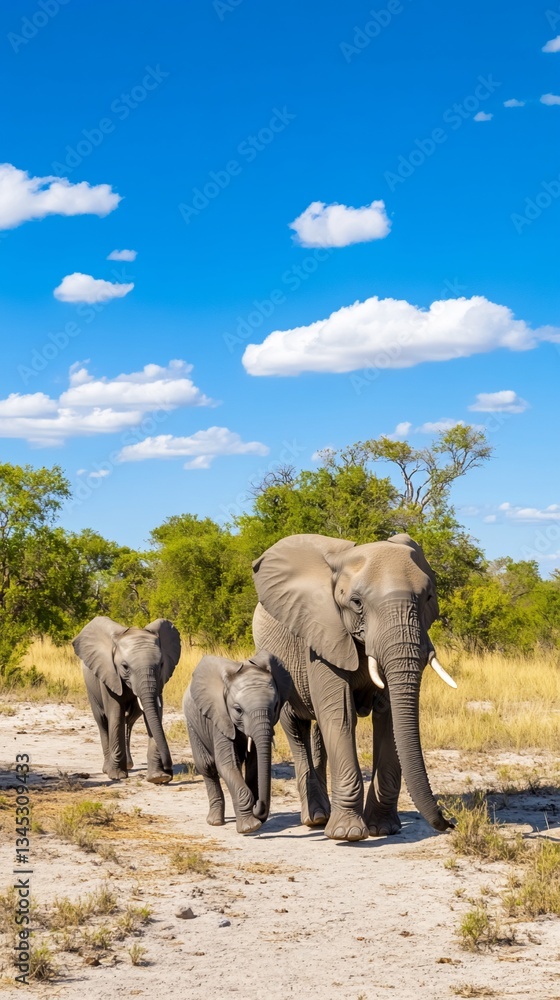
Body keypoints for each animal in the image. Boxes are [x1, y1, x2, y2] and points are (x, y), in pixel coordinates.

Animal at [73, 616, 181, 783]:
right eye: (125, 666)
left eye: (161, 664)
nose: (169, 771)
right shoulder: (109, 675)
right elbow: (115, 714)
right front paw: (117, 776)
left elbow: (155, 714)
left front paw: (158, 777)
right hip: (91, 688)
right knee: (103, 721)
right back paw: (108, 769)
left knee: (129, 720)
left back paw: (129, 765)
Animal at [183, 649, 292, 834]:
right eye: (238, 710)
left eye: (276, 705)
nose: (258, 806)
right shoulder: (219, 718)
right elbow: (227, 765)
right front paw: (250, 827)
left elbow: (254, 765)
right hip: (192, 724)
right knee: (207, 766)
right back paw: (215, 822)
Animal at [251, 533, 457, 842]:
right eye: (357, 602)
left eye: (428, 597)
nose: (451, 822)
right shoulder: (321, 635)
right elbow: (340, 715)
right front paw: (347, 834)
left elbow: (388, 718)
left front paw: (382, 828)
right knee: (295, 726)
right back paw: (316, 818)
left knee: (318, 731)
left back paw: (324, 816)